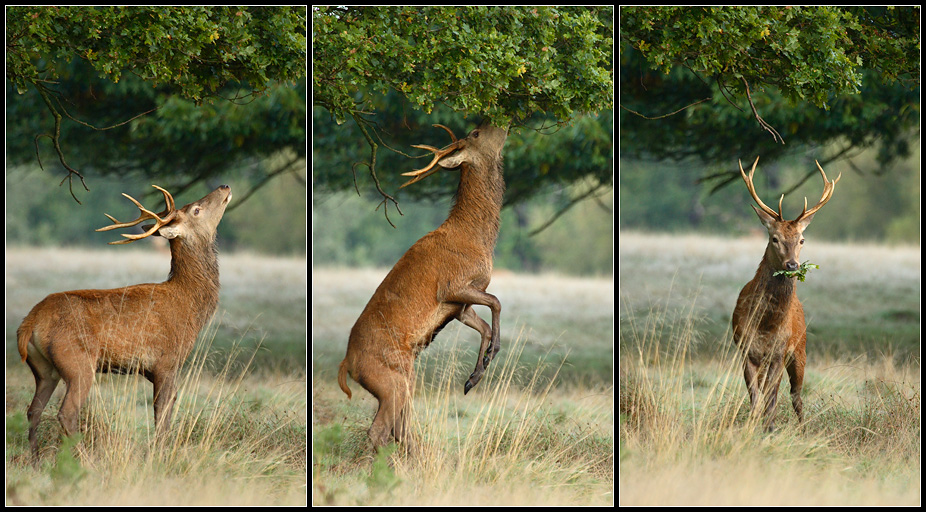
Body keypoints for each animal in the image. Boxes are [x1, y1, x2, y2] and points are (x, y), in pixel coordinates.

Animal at [338, 120, 512, 452]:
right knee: (381, 430)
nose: (504, 121)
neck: (479, 240)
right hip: (391, 379)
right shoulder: (452, 285)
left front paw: (473, 378)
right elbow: (497, 300)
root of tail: (347, 365)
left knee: (399, 429)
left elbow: (484, 324)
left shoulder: (459, 306)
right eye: (476, 133)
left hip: (402, 380)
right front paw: (489, 356)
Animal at [736, 157, 844, 432]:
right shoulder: (745, 350)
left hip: (801, 350)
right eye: (774, 238)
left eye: (802, 239)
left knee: (796, 395)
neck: (765, 325)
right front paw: (754, 427)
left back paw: (803, 429)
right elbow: (755, 398)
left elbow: (772, 398)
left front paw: (769, 429)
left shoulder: (779, 351)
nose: (793, 265)